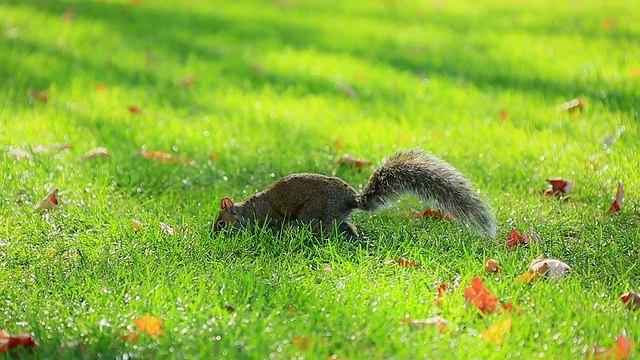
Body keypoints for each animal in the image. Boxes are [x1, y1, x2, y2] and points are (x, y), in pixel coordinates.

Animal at [212, 149, 498, 239]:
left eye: (221, 224)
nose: (214, 236)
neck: (247, 210)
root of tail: (350, 200)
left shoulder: (268, 216)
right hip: (332, 218)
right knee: (348, 228)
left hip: (312, 214)